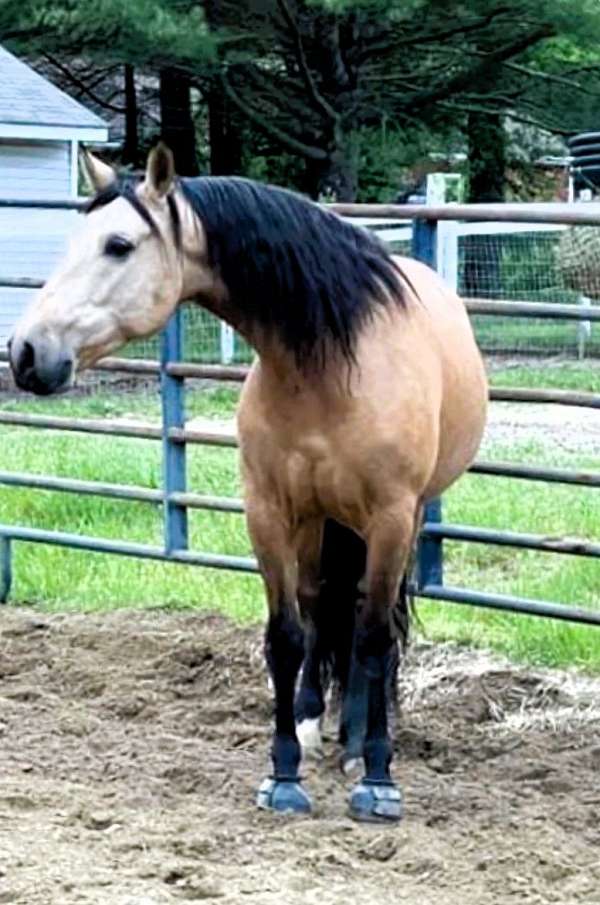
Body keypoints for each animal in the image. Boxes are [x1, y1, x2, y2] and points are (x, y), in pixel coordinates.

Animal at [8, 147, 488, 820]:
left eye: (119, 245)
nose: (27, 353)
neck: (332, 368)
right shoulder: (268, 512)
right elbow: (286, 636)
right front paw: (283, 773)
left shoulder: (391, 517)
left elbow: (372, 639)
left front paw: (378, 777)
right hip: (319, 521)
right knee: (319, 605)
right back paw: (316, 722)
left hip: (401, 519)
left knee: (370, 616)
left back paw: (358, 739)